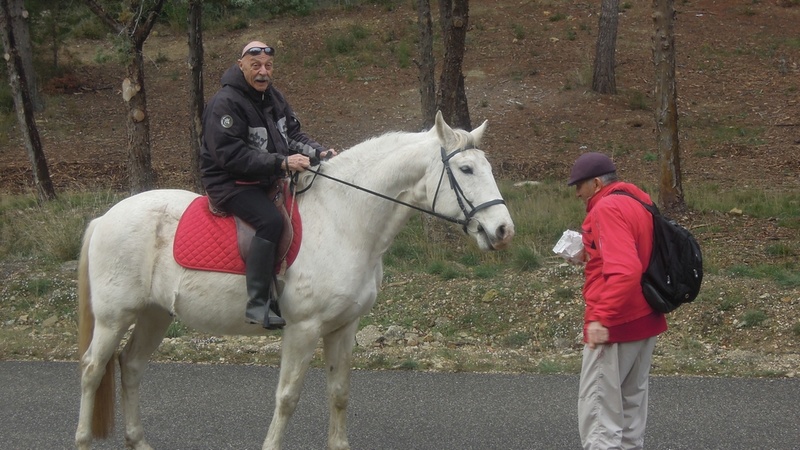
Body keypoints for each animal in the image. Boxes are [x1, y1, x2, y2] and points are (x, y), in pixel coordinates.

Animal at [75, 110, 512, 448]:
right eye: (466, 169)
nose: (504, 230)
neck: (344, 219)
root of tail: (104, 218)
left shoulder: (344, 328)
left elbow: (339, 393)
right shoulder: (303, 329)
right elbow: (287, 397)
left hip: (154, 315)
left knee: (130, 366)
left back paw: (138, 441)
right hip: (115, 318)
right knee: (93, 370)